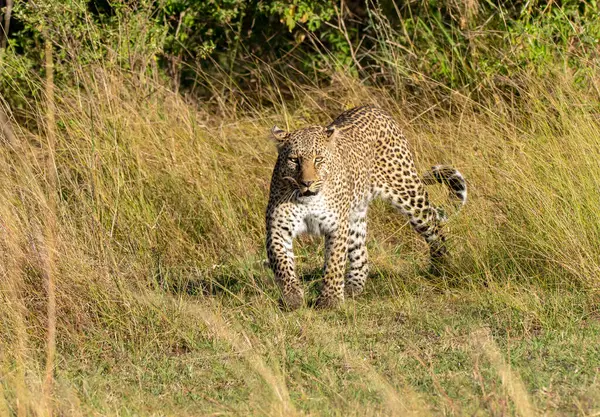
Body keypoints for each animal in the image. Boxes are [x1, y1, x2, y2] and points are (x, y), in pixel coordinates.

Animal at [264, 105, 466, 308]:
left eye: (318, 159)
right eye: (294, 160)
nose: (307, 183)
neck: (309, 200)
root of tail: (374, 108)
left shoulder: (336, 227)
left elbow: (334, 263)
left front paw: (331, 299)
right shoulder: (278, 228)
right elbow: (282, 264)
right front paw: (292, 297)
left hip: (410, 195)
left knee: (433, 225)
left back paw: (442, 267)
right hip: (355, 215)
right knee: (361, 251)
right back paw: (353, 287)